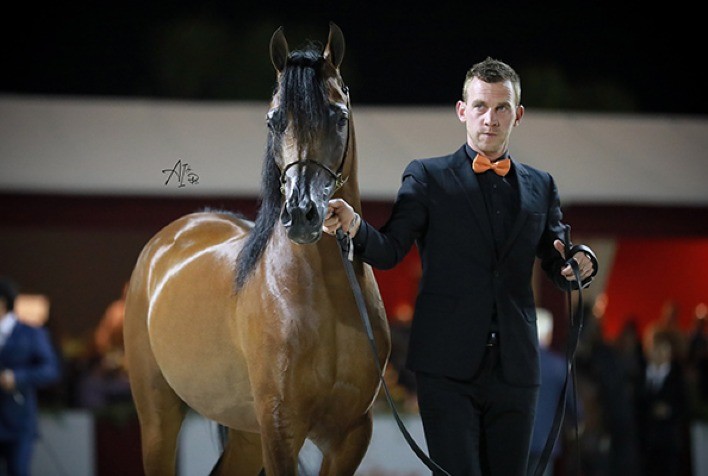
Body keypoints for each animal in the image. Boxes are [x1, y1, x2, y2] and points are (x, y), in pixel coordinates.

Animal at [123, 23, 391, 475]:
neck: (324, 297)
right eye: (273, 119)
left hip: (246, 433)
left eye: (339, 116)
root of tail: (172, 236)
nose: (302, 213)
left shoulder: (351, 433)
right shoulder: (281, 429)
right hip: (158, 417)